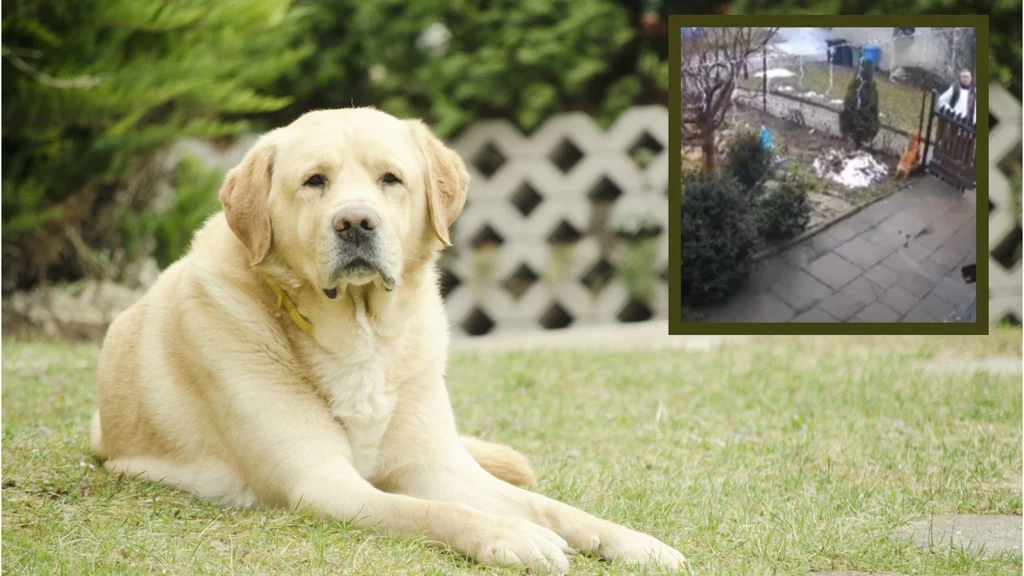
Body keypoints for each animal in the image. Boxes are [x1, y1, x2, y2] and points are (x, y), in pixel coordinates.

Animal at [92, 106, 684, 569]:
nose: (355, 222)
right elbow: (430, 509)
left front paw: (633, 542)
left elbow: (550, 506)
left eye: (390, 179)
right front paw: (508, 536)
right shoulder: (319, 480)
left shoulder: (436, 465)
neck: (361, 333)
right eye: (315, 181)